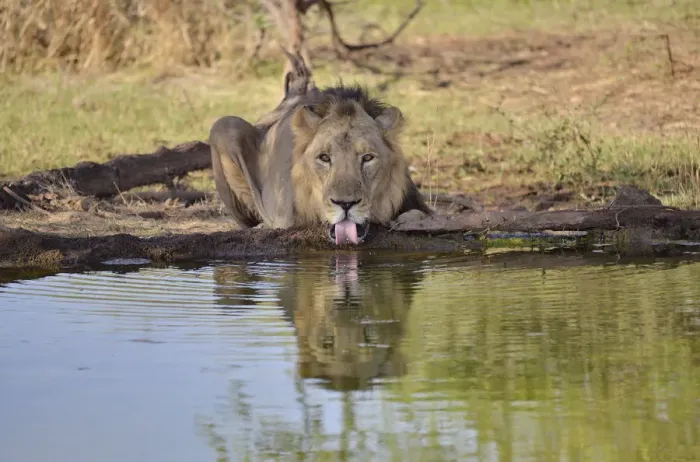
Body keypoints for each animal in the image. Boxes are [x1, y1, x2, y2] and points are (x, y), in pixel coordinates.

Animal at [209, 52, 430, 245]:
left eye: (367, 158)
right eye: (324, 158)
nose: (345, 204)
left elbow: (419, 214)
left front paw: (404, 221)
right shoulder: (283, 219)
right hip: (225, 124)